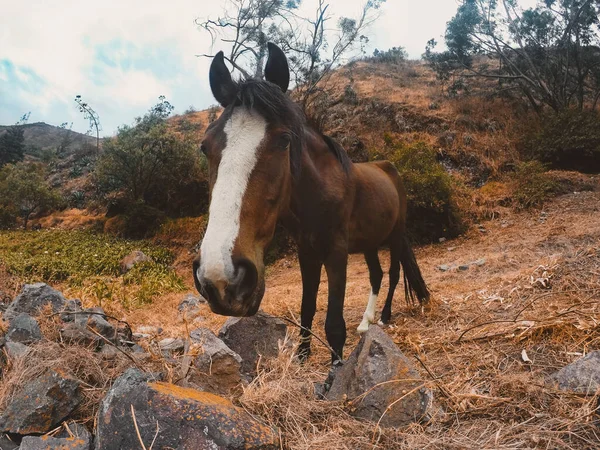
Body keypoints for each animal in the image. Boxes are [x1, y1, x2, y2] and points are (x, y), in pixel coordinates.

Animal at [193, 43, 432, 366]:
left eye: (284, 140)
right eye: (205, 146)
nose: (221, 280)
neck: (318, 194)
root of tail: (388, 168)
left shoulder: (336, 253)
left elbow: (333, 325)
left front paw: (336, 367)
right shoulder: (307, 253)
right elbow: (307, 308)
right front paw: (303, 355)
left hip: (395, 237)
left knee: (393, 275)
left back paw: (383, 317)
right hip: (369, 244)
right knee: (377, 275)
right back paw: (365, 322)